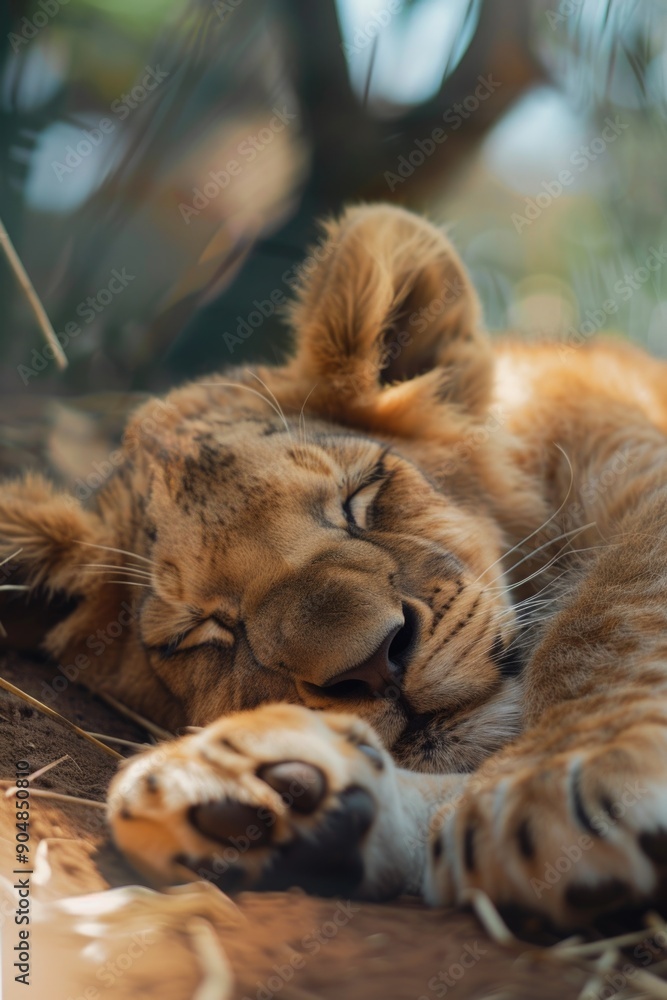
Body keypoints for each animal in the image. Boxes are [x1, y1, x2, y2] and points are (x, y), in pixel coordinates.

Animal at [3, 203, 667, 927]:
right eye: (200, 632)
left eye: (360, 496)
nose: (374, 664)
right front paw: (257, 799)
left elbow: (607, 617)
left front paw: (554, 777)